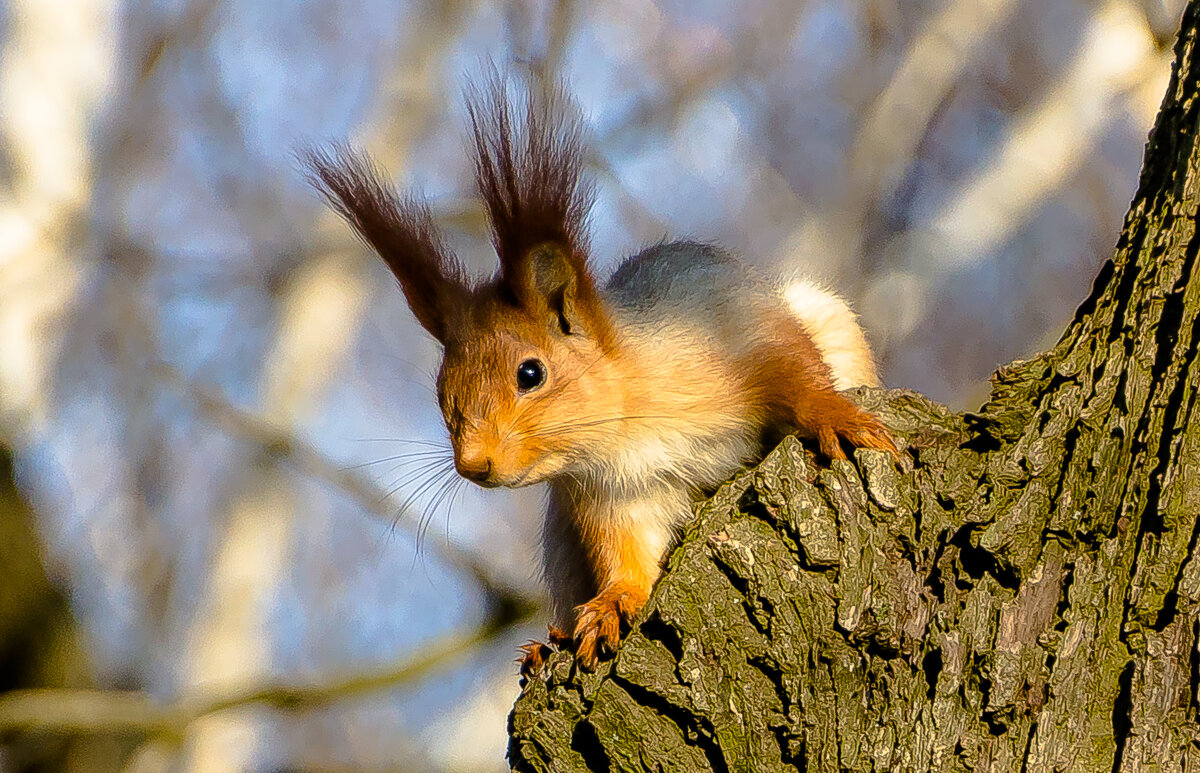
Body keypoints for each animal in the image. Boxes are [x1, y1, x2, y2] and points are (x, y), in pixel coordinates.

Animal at [304, 72, 897, 676]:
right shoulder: (606, 495)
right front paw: (614, 603)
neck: (629, 428)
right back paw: (551, 641)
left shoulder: (735, 329)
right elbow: (626, 556)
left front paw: (835, 416)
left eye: (531, 373)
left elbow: (795, 371)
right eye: (442, 392)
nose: (473, 465)